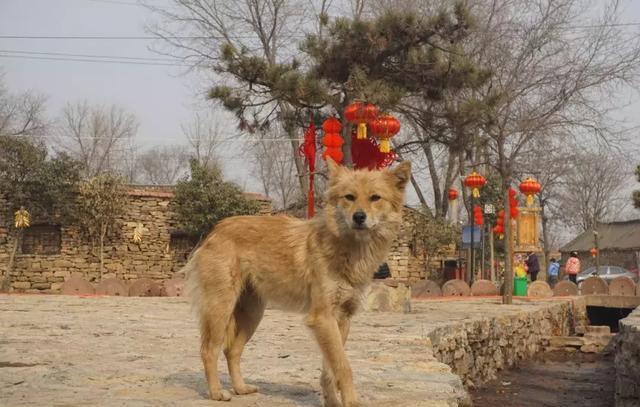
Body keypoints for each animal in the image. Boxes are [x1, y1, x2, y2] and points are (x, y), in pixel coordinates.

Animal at [184, 160, 410, 407]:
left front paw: (332, 401)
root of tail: (217, 229)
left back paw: (240, 388)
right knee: (209, 350)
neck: (347, 247)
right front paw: (351, 402)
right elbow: (343, 366)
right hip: (220, 309)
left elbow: (329, 369)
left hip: (252, 315)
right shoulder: (323, 318)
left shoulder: (341, 319)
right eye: (349, 197)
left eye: (375, 198)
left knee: (232, 351)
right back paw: (216, 392)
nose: (359, 217)